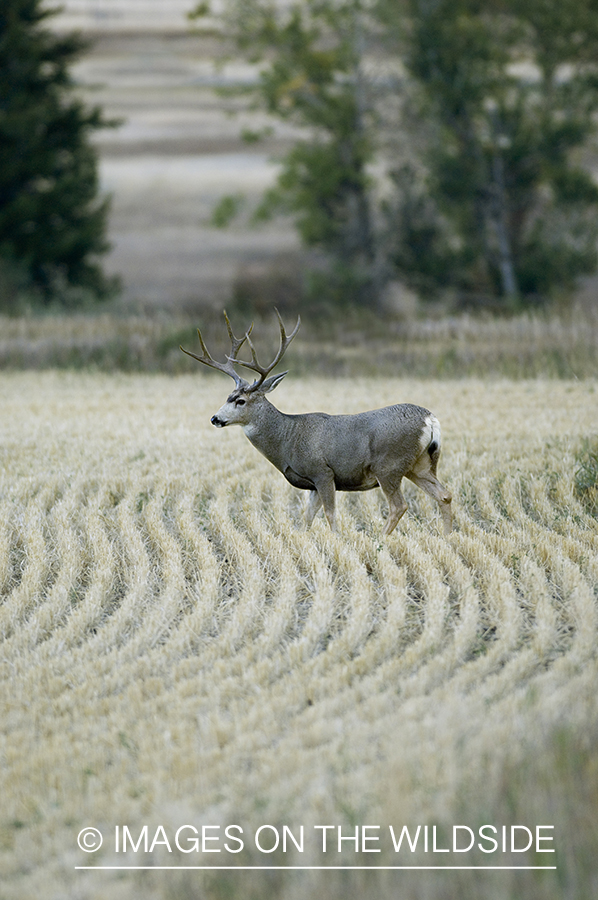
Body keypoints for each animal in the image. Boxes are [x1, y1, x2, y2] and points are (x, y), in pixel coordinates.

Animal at [181, 311, 452, 536]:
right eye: (227, 396)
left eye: (240, 400)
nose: (215, 418)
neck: (287, 440)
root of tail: (430, 419)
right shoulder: (311, 483)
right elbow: (307, 518)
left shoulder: (323, 471)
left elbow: (330, 515)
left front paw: (337, 541)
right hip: (421, 464)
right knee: (444, 495)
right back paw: (448, 537)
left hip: (389, 465)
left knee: (399, 505)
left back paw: (381, 539)